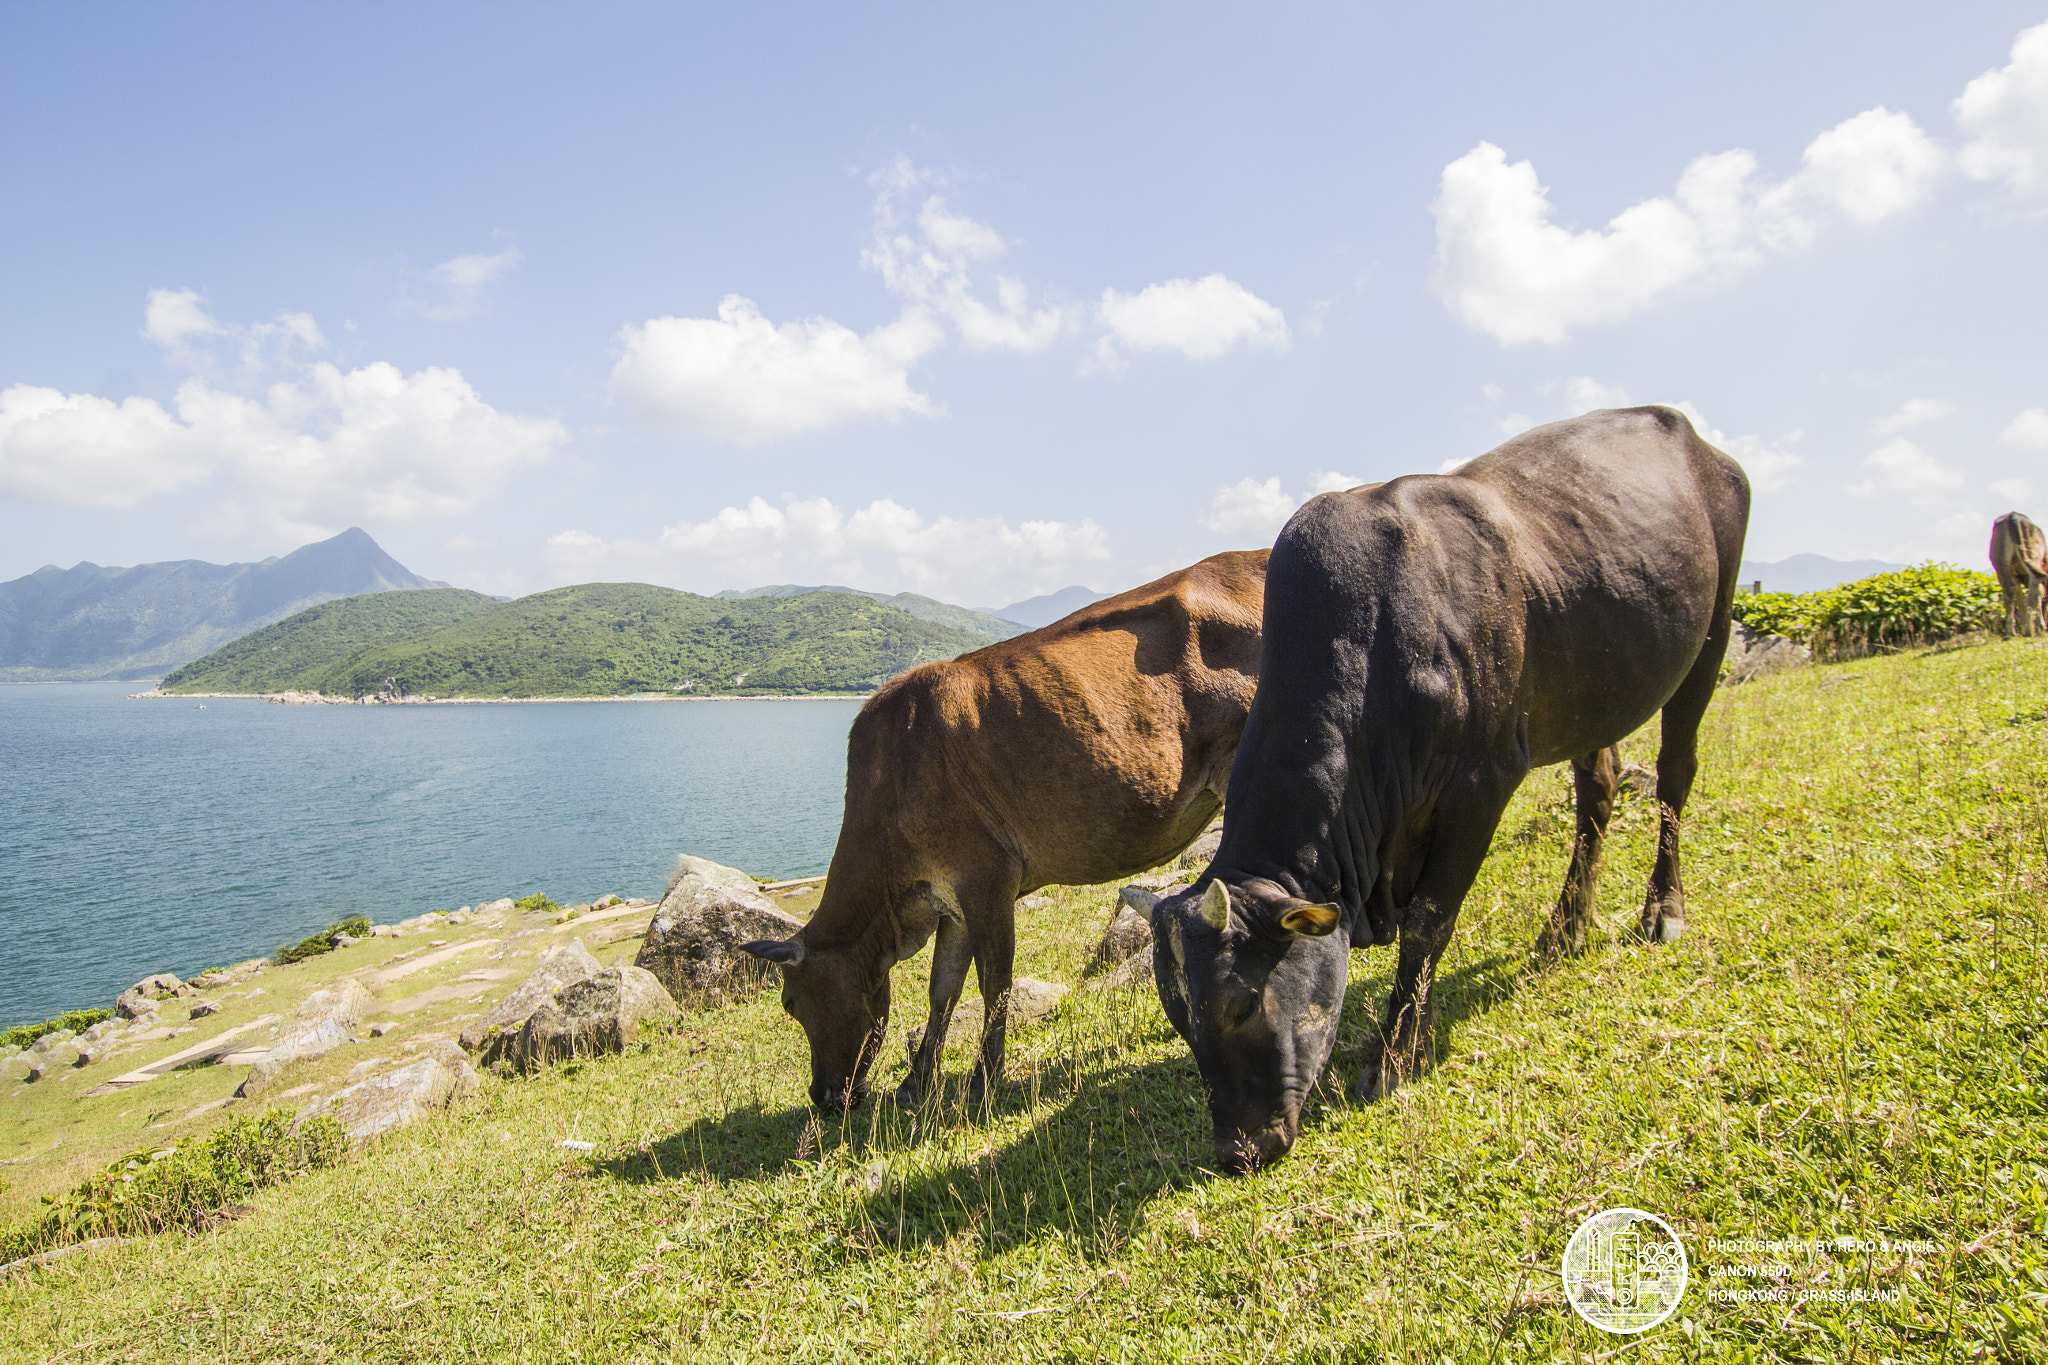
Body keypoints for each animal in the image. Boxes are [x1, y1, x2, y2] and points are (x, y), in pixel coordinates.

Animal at [740, 550, 1268, 1112]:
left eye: (791, 1002)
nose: (822, 1094)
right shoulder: (949, 897)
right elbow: (942, 988)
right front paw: (916, 1082)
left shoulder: (987, 879)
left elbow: (995, 984)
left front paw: (983, 1082)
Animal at [1151, 407, 1750, 1174]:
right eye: (1182, 1022)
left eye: (1242, 1005)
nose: (1238, 1150)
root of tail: (1694, 438)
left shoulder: (1484, 783)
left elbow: (1430, 921)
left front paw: (1394, 1055)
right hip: (1591, 690)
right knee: (1599, 789)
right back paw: (1564, 928)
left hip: (1710, 636)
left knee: (1675, 773)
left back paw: (1662, 910)